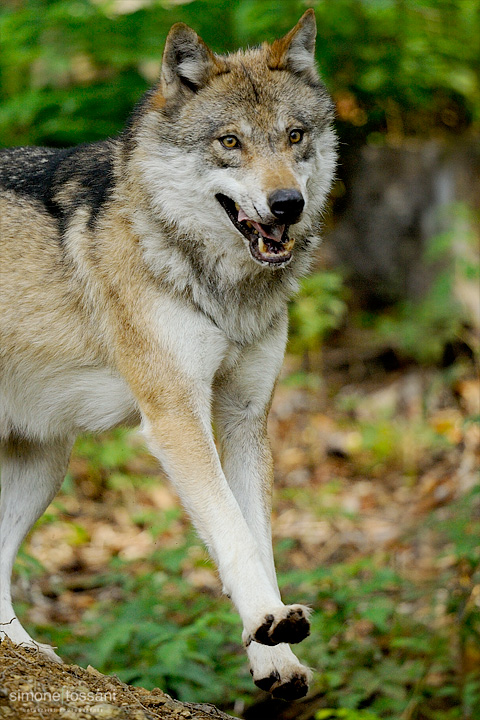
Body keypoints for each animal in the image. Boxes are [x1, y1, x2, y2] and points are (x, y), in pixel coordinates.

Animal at [0, 8, 336, 700]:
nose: (287, 205)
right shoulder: (178, 416)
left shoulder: (243, 419)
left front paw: (276, 657)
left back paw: (26, 650)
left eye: (294, 136)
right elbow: (233, 532)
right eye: (230, 142)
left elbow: (259, 538)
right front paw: (268, 621)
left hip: (45, 464)